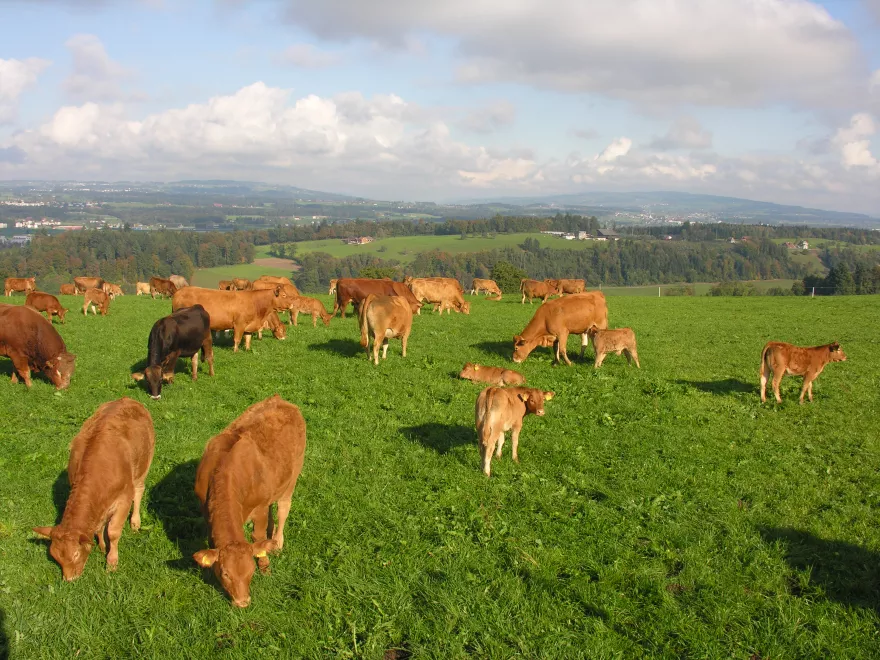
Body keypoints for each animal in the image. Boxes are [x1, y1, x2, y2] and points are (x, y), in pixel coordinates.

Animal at [33, 398, 155, 576]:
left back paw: (135, 522)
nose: (69, 579)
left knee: (139, 490)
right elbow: (98, 527)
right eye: (55, 556)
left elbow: (113, 532)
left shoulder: (124, 499)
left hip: (145, 462)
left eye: (76, 554)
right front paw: (102, 546)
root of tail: (127, 399)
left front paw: (112, 562)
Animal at [192, 398, 306, 608]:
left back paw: (277, 542)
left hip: (293, 477)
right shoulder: (205, 509)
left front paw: (266, 567)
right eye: (225, 573)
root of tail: (279, 399)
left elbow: (257, 538)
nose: (243, 602)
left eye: (251, 571)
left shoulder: (258, 509)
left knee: (283, 509)